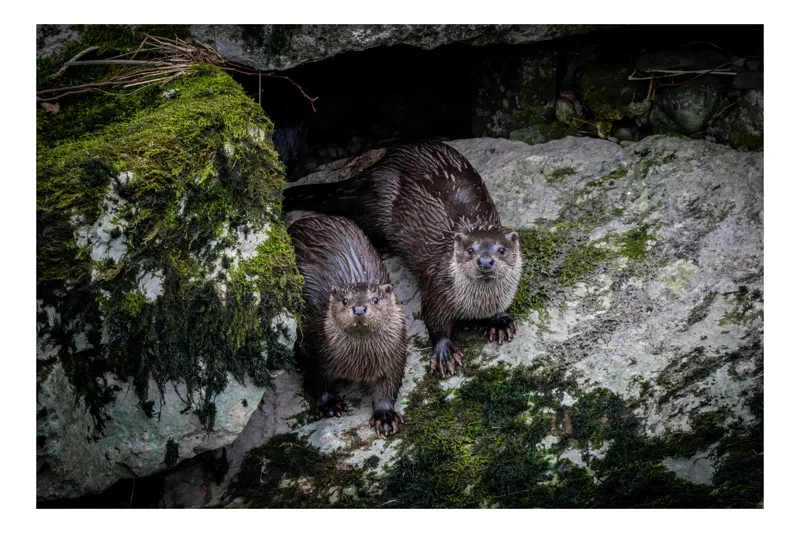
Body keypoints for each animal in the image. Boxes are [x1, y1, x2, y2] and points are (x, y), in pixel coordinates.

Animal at [284, 141, 522, 378]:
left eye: (501, 250)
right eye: (470, 250)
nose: (485, 261)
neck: (478, 303)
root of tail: (380, 164)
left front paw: (500, 320)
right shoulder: (438, 287)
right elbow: (433, 319)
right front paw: (445, 352)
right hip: (378, 204)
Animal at [286, 212, 407, 436]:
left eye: (375, 299)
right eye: (344, 300)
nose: (359, 309)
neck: (359, 363)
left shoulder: (395, 355)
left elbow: (389, 385)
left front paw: (385, 416)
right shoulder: (317, 347)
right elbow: (317, 380)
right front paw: (329, 406)